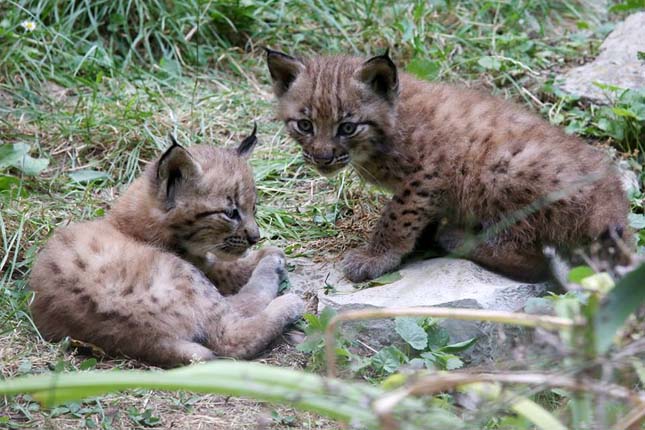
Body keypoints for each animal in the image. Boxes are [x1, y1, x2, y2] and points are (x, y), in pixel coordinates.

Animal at [28, 128, 304, 366]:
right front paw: (269, 255)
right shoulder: (200, 266)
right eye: (230, 213)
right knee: (235, 332)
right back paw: (285, 297)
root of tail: (146, 338)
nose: (256, 237)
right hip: (189, 280)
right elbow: (228, 269)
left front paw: (263, 253)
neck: (128, 222)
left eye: (253, 208)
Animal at [266, 50, 628, 284]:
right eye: (305, 125)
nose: (323, 158)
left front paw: (377, 256)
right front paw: (415, 241)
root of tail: (612, 198)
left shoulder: (428, 174)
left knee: (534, 263)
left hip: (499, 171)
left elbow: (396, 217)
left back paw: (457, 238)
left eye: (347, 127)